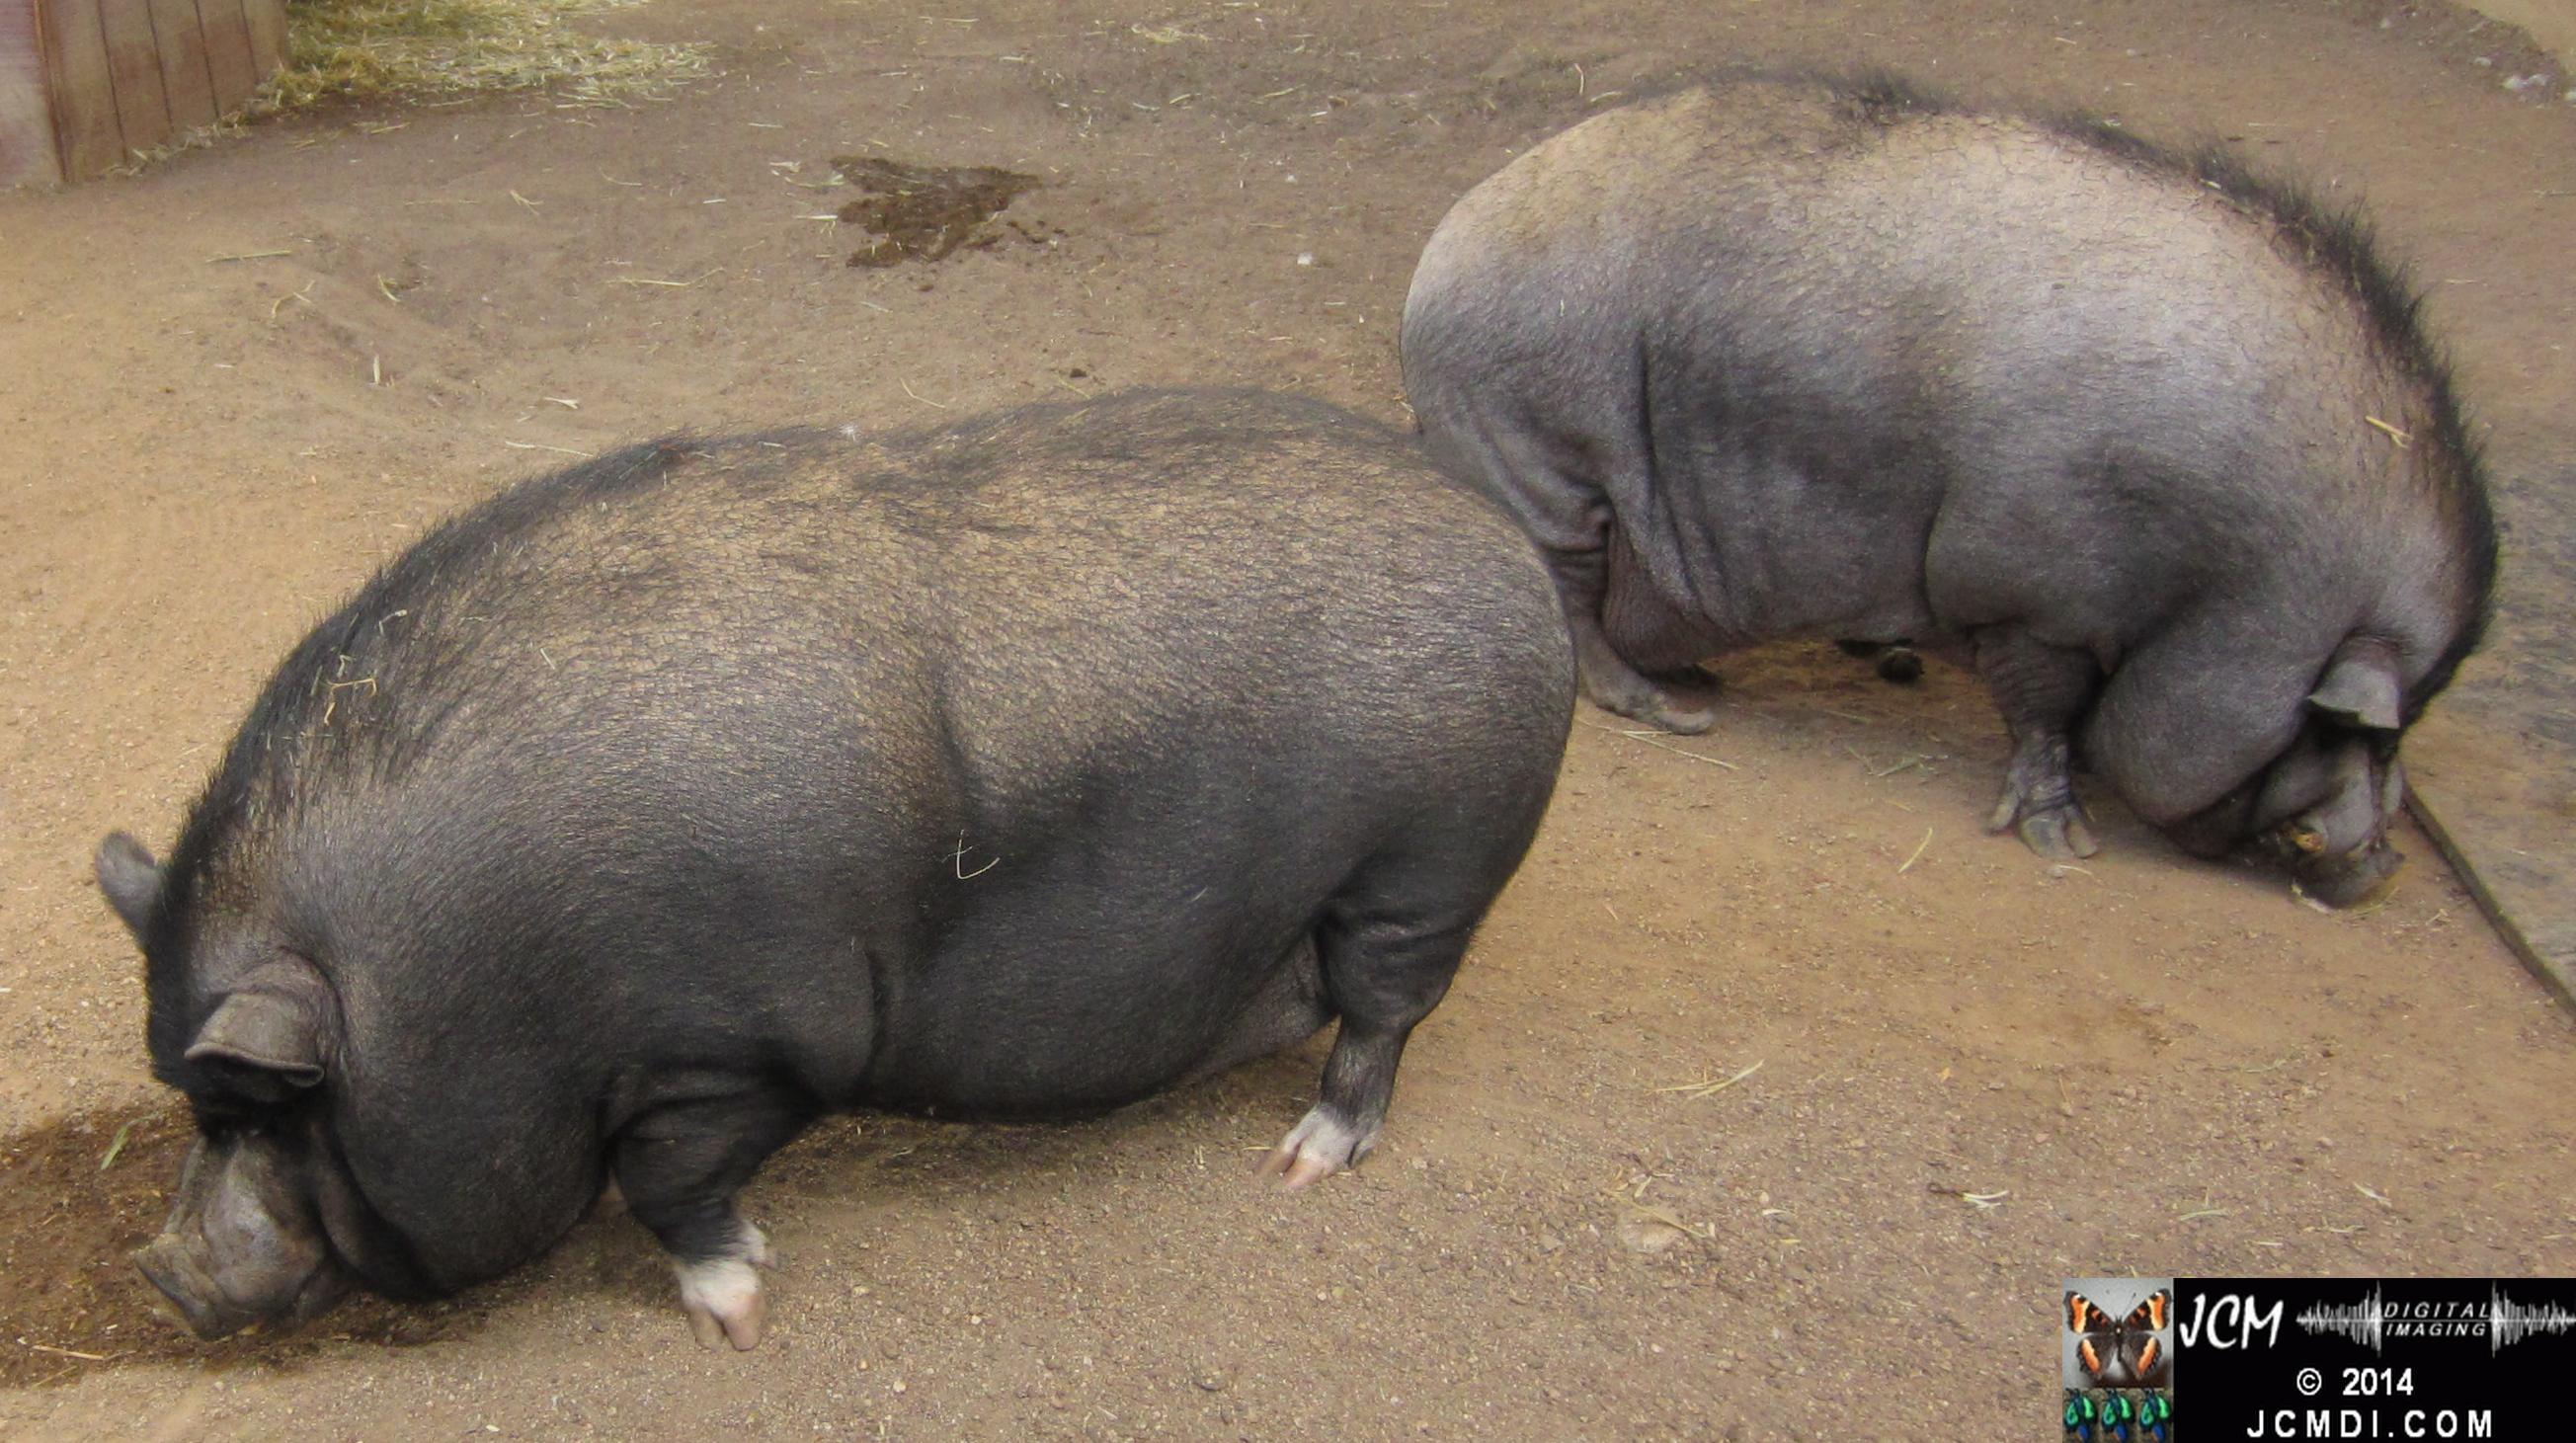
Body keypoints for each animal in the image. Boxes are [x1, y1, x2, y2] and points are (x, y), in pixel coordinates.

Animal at [94, 389, 1574, 1349]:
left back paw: (1303, 1164)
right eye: (192, 1104)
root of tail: (1502, 541)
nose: (161, 1267)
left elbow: (669, 1186)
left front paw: (740, 1311)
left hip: (1423, 867)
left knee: (1383, 1020)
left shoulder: (734, 1047)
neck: (481, 980)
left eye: (265, 1107)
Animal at [1400, 73, 2497, 907]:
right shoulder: (2031, 589)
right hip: (1541, 455)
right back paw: (1675, 709)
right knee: (1573, 605)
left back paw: (1703, 681)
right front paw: (2066, 844)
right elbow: (2045, 709)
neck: (2230, 583)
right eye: (2356, 730)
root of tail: (1450, 242)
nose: (2384, 864)